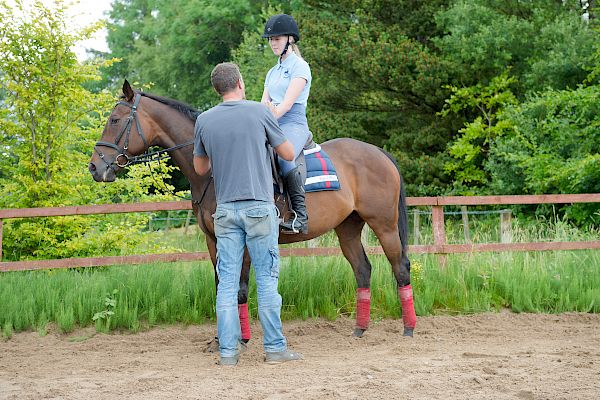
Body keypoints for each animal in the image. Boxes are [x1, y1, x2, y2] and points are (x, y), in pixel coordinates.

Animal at [89, 80, 418, 340]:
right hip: (348, 228)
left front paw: (241, 339)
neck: (214, 170)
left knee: (400, 267)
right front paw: (221, 338)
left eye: (115, 120)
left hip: (384, 224)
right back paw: (360, 329)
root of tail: (378, 152)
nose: (95, 167)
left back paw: (409, 328)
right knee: (363, 271)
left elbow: (241, 288)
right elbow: (222, 286)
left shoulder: (243, 238)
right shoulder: (213, 240)